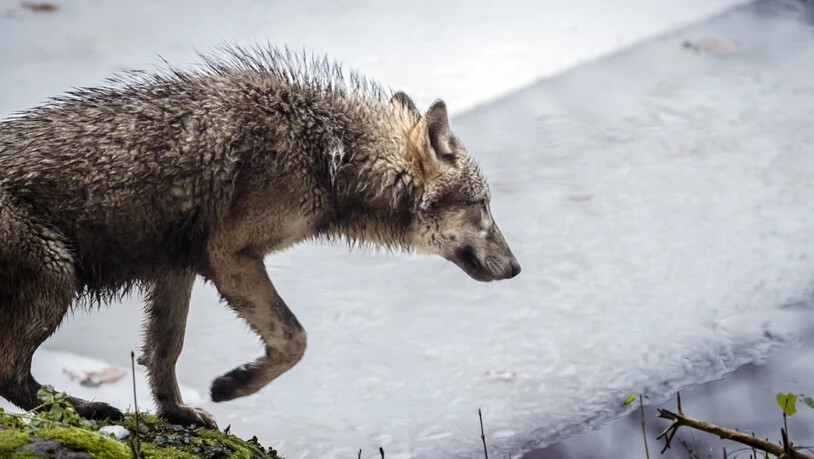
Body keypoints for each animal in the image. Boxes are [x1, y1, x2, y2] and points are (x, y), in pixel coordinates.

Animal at [0, 46, 520, 428]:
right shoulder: (230, 257)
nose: (517, 268)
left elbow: (164, 351)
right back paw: (88, 410)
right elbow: (295, 339)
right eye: (483, 207)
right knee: (10, 374)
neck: (330, 155)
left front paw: (177, 413)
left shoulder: (179, 266)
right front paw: (233, 384)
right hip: (57, 280)